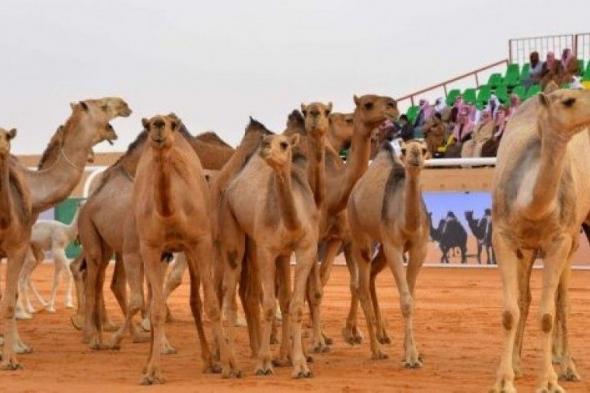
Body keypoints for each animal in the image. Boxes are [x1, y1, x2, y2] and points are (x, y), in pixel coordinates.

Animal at [0, 96, 130, 370]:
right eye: (103, 106)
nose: (125, 105)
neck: (32, 187)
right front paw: (12, 351)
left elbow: (11, 293)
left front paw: (19, 347)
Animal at [132, 113, 238, 382]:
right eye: (148, 125)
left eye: (171, 124)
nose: (159, 124)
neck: (170, 213)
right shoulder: (151, 248)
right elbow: (157, 309)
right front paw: (152, 371)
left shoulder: (200, 244)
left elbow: (211, 305)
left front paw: (229, 365)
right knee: (153, 299)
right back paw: (148, 364)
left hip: (191, 252)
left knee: (195, 301)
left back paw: (210, 360)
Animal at [346, 139, 430, 366]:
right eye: (405, 149)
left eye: (424, 149)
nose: (415, 155)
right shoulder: (393, 246)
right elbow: (406, 301)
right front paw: (411, 358)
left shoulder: (419, 248)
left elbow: (411, 297)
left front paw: (411, 352)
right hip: (360, 235)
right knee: (361, 285)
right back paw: (376, 350)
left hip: (381, 246)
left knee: (370, 277)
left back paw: (380, 336)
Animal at [490, 89, 590, 392]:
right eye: (568, 101)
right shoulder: (503, 238)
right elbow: (510, 311)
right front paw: (505, 379)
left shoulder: (560, 241)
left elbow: (547, 315)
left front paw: (548, 381)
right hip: (528, 250)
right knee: (525, 299)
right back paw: (520, 362)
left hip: (573, 241)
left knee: (561, 301)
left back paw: (567, 365)